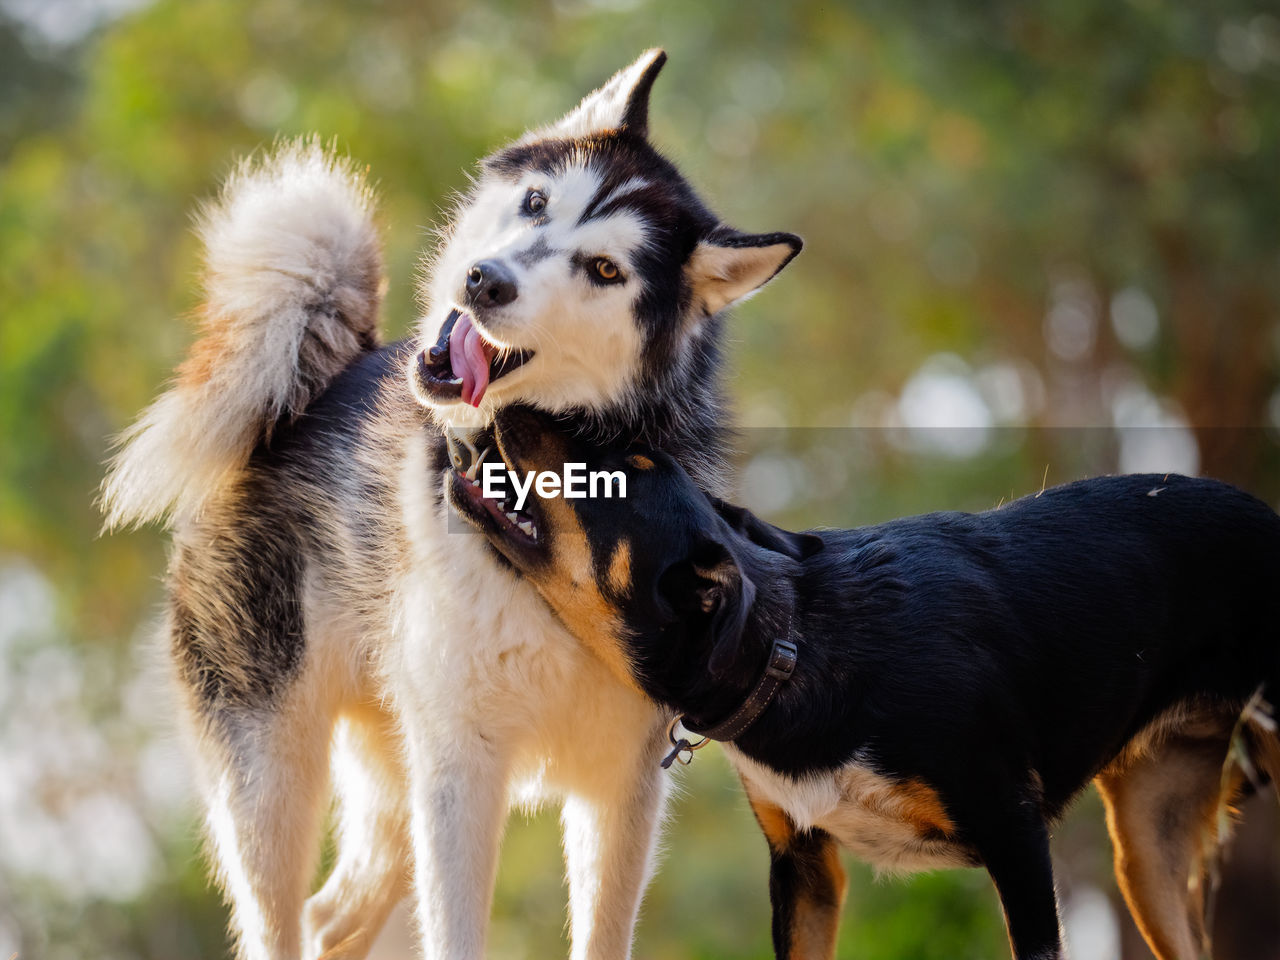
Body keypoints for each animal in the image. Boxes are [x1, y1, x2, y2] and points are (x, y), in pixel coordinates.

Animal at [102, 50, 798, 960]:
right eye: (537, 203)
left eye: (605, 269)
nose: (485, 281)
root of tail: (322, 383)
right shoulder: (463, 770)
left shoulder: (619, 789)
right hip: (277, 782)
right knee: (285, 923)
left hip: (389, 786)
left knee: (331, 918)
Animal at [455, 407, 1280, 960]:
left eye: (626, 468)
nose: (508, 403)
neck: (798, 644)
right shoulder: (804, 868)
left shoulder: (1014, 834)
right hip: (1148, 847)